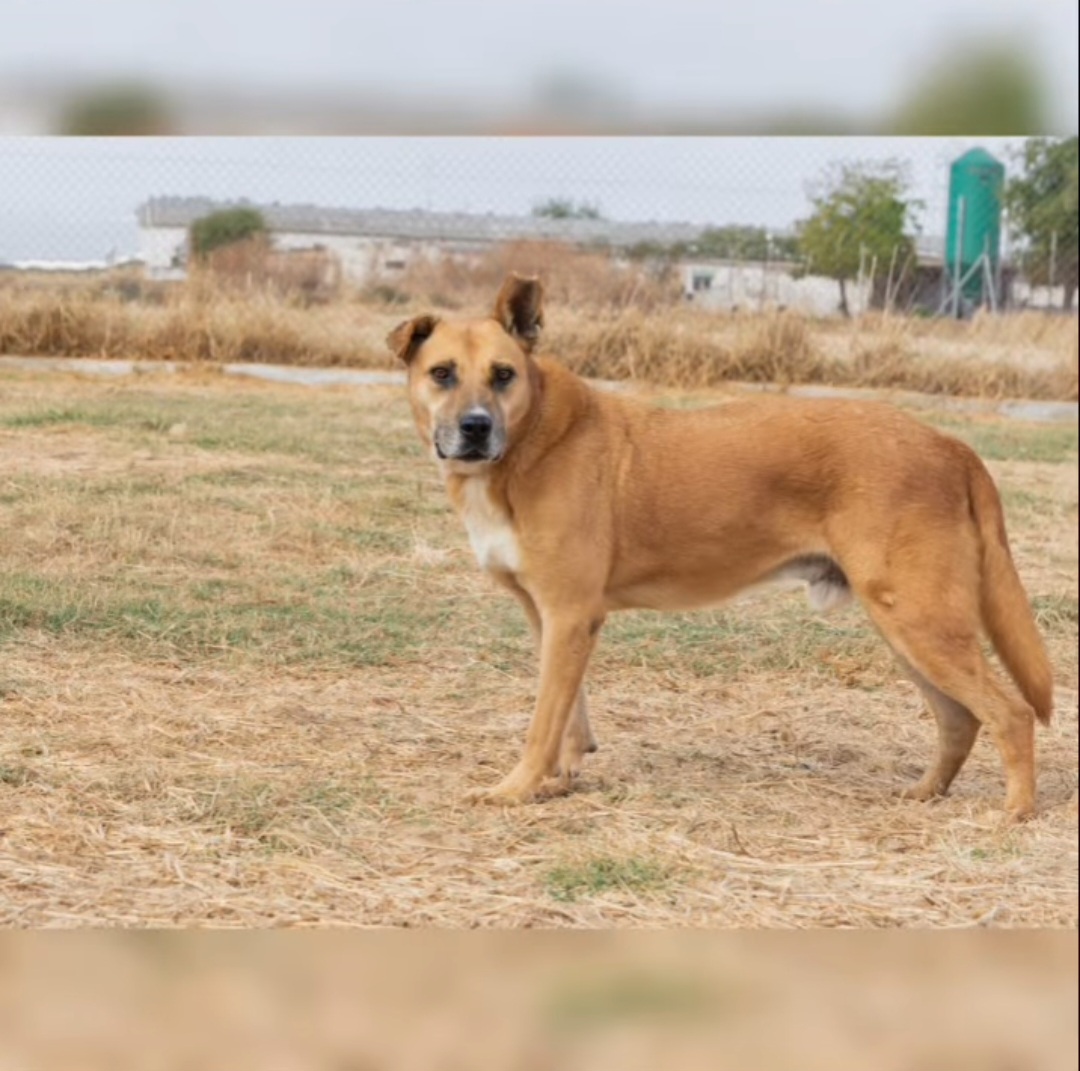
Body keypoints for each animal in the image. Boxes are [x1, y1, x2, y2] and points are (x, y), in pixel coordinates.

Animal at [389, 274, 1053, 818]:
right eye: (442, 373)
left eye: (503, 375)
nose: (475, 428)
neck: (531, 443)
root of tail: (951, 445)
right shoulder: (550, 618)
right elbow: (570, 716)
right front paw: (556, 782)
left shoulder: (570, 616)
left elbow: (542, 721)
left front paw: (516, 789)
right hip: (905, 625)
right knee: (960, 719)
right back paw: (926, 793)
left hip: (920, 620)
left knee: (1013, 713)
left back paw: (1014, 814)